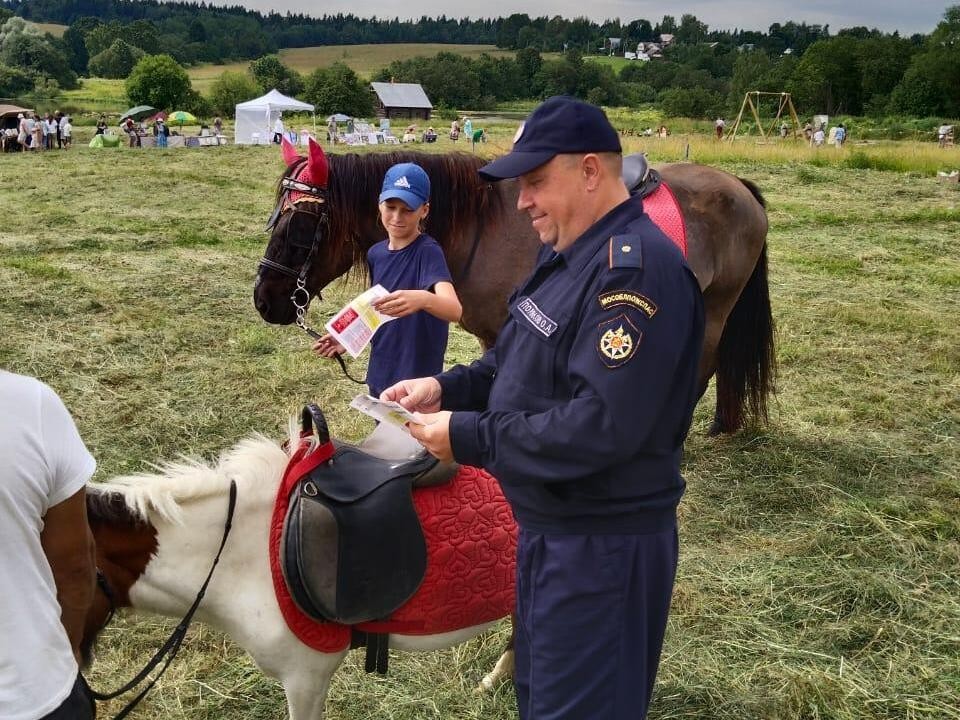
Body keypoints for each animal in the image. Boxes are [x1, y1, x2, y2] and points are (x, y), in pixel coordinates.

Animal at [253, 141, 772, 434]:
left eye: (301, 223)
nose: (265, 299)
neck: (480, 226)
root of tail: (738, 186)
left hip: (717, 308)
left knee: (704, 366)